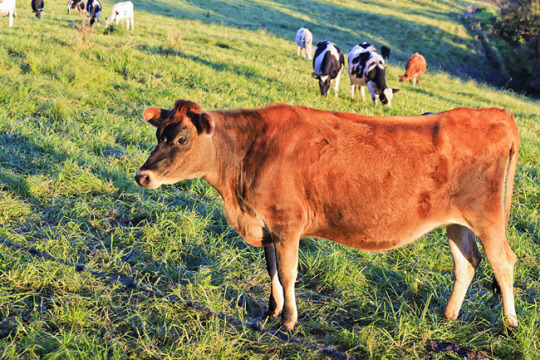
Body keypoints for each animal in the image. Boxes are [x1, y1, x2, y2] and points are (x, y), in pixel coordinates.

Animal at [135, 99, 520, 332]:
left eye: (182, 139)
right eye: (159, 134)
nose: (143, 176)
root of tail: (495, 113)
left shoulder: (287, 223)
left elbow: (288, 273)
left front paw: (289, 321)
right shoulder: (267, 225)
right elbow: (272, 270)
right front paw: (271, 311)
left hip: (487, 217)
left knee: (503, 262)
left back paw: (511, 324)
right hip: (456, 221)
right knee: (467, 263)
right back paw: (448, 317)